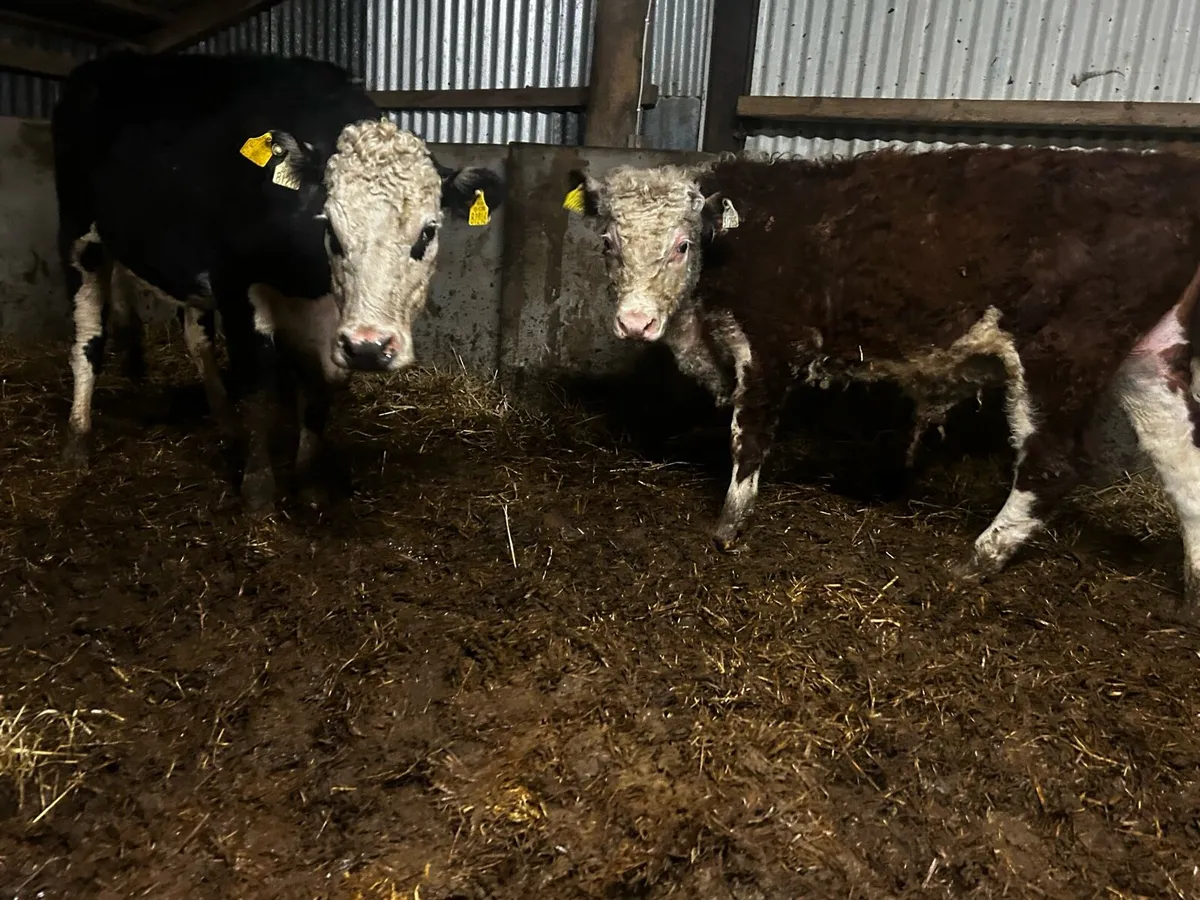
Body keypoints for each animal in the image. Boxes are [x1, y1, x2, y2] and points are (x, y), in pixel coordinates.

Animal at [52, 50, 504, 513]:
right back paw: (78, 440)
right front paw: (258, 489)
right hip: (80, 236)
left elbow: (319, 390)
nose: (369, 347)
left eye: (427, 232)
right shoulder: (236, 287)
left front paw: (309, 481)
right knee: (88, 337)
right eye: (331, 229)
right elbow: (259, 389)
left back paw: (225, 426)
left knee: (196, 339)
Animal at [564, 147, 1200, 605]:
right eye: (608, 242)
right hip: (1149, 357)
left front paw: (729, 526)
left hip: (1062, 351)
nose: (636, 322)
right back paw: (1192, 590)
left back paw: (976, 559)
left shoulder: (770, 344)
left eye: (681, 243)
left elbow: (750, 437)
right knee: (1181, 461)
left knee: (1052, 465)